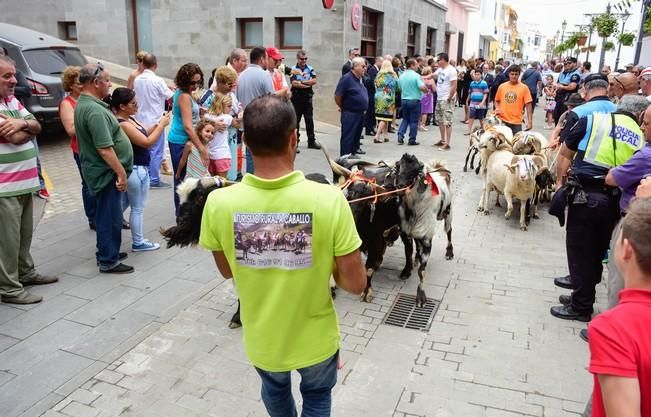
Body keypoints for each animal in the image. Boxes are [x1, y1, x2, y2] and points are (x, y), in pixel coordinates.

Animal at [392, 153, 454, 306]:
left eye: (415, 170)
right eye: (398, 166)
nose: (400, 186)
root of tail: (440, 169)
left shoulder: (427, 238)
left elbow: (422, 271)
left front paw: (421, 296)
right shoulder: (406, 232)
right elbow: (408, 253)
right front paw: (406, 271)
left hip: (449, 212)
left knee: (449, 231)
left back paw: (449, 252)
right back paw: (418, 257)